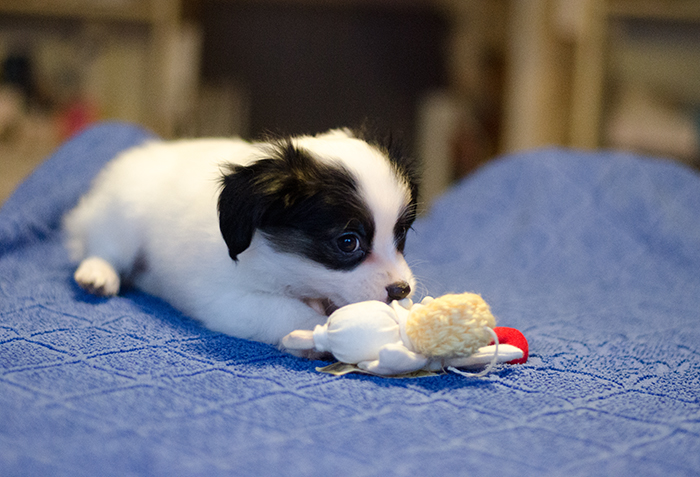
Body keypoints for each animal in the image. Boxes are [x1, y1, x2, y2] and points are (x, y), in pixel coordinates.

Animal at [63, 128, 420, 347]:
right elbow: (290, 312)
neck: (282, 265)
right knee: (103, 248)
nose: (401, 290)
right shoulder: (231, 302)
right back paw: (97, 273)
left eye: (401, 233)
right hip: (122, 218)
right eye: (348, 242)